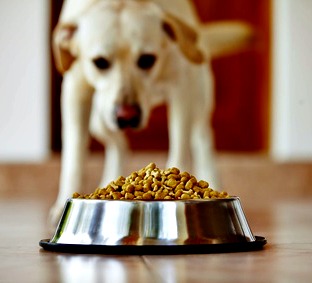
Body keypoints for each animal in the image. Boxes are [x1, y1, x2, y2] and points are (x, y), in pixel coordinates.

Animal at [49, 0, 254, 226]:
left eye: (147, 59)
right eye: (100, 62)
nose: (127, 116)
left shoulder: (182, 91)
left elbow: (179, 149)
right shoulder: (75, 91)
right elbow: (74, 156)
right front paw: (63, 204)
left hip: (199, 98)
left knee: (202, 139)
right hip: (99, 119)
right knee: (118, 146)